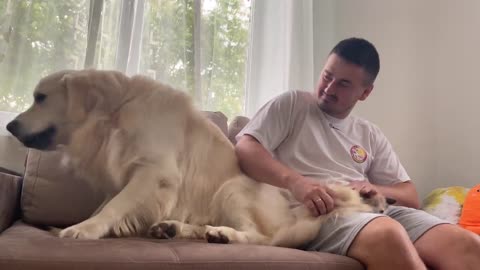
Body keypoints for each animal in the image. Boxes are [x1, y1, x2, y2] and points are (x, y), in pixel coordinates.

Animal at [6, 70, 390, 248]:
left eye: (40, 97)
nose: (9, 125)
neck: (116, 113)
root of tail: (299, 209)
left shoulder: (155, 173)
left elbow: (114, 206)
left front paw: (84, 229)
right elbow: (106, 203)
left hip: (232, 190)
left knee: (259, 237)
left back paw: (222, 234)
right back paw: (173, 228)